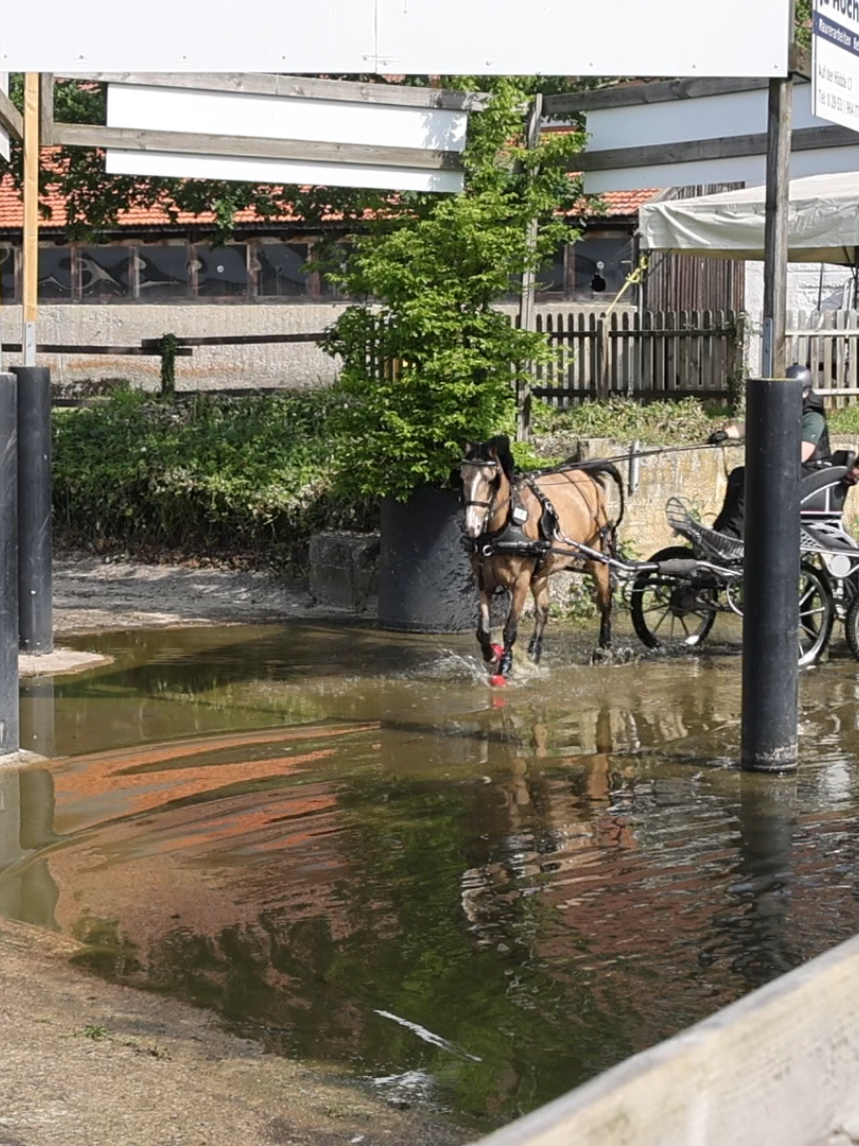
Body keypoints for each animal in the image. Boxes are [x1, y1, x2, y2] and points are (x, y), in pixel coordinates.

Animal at [460, 435, 625, 678]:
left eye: (491, 480)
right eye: (462, 476)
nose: (471, 527)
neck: (502, 529)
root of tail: (586, 475)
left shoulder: (519, 582)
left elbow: (510, 629)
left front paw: (505, 666)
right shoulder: (484, 582)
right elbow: (483, 630)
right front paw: (491, 654)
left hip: (599, 559)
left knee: (605, 603)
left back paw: (603, 649)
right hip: (542, 569)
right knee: (543, 610)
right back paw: (534, 652)